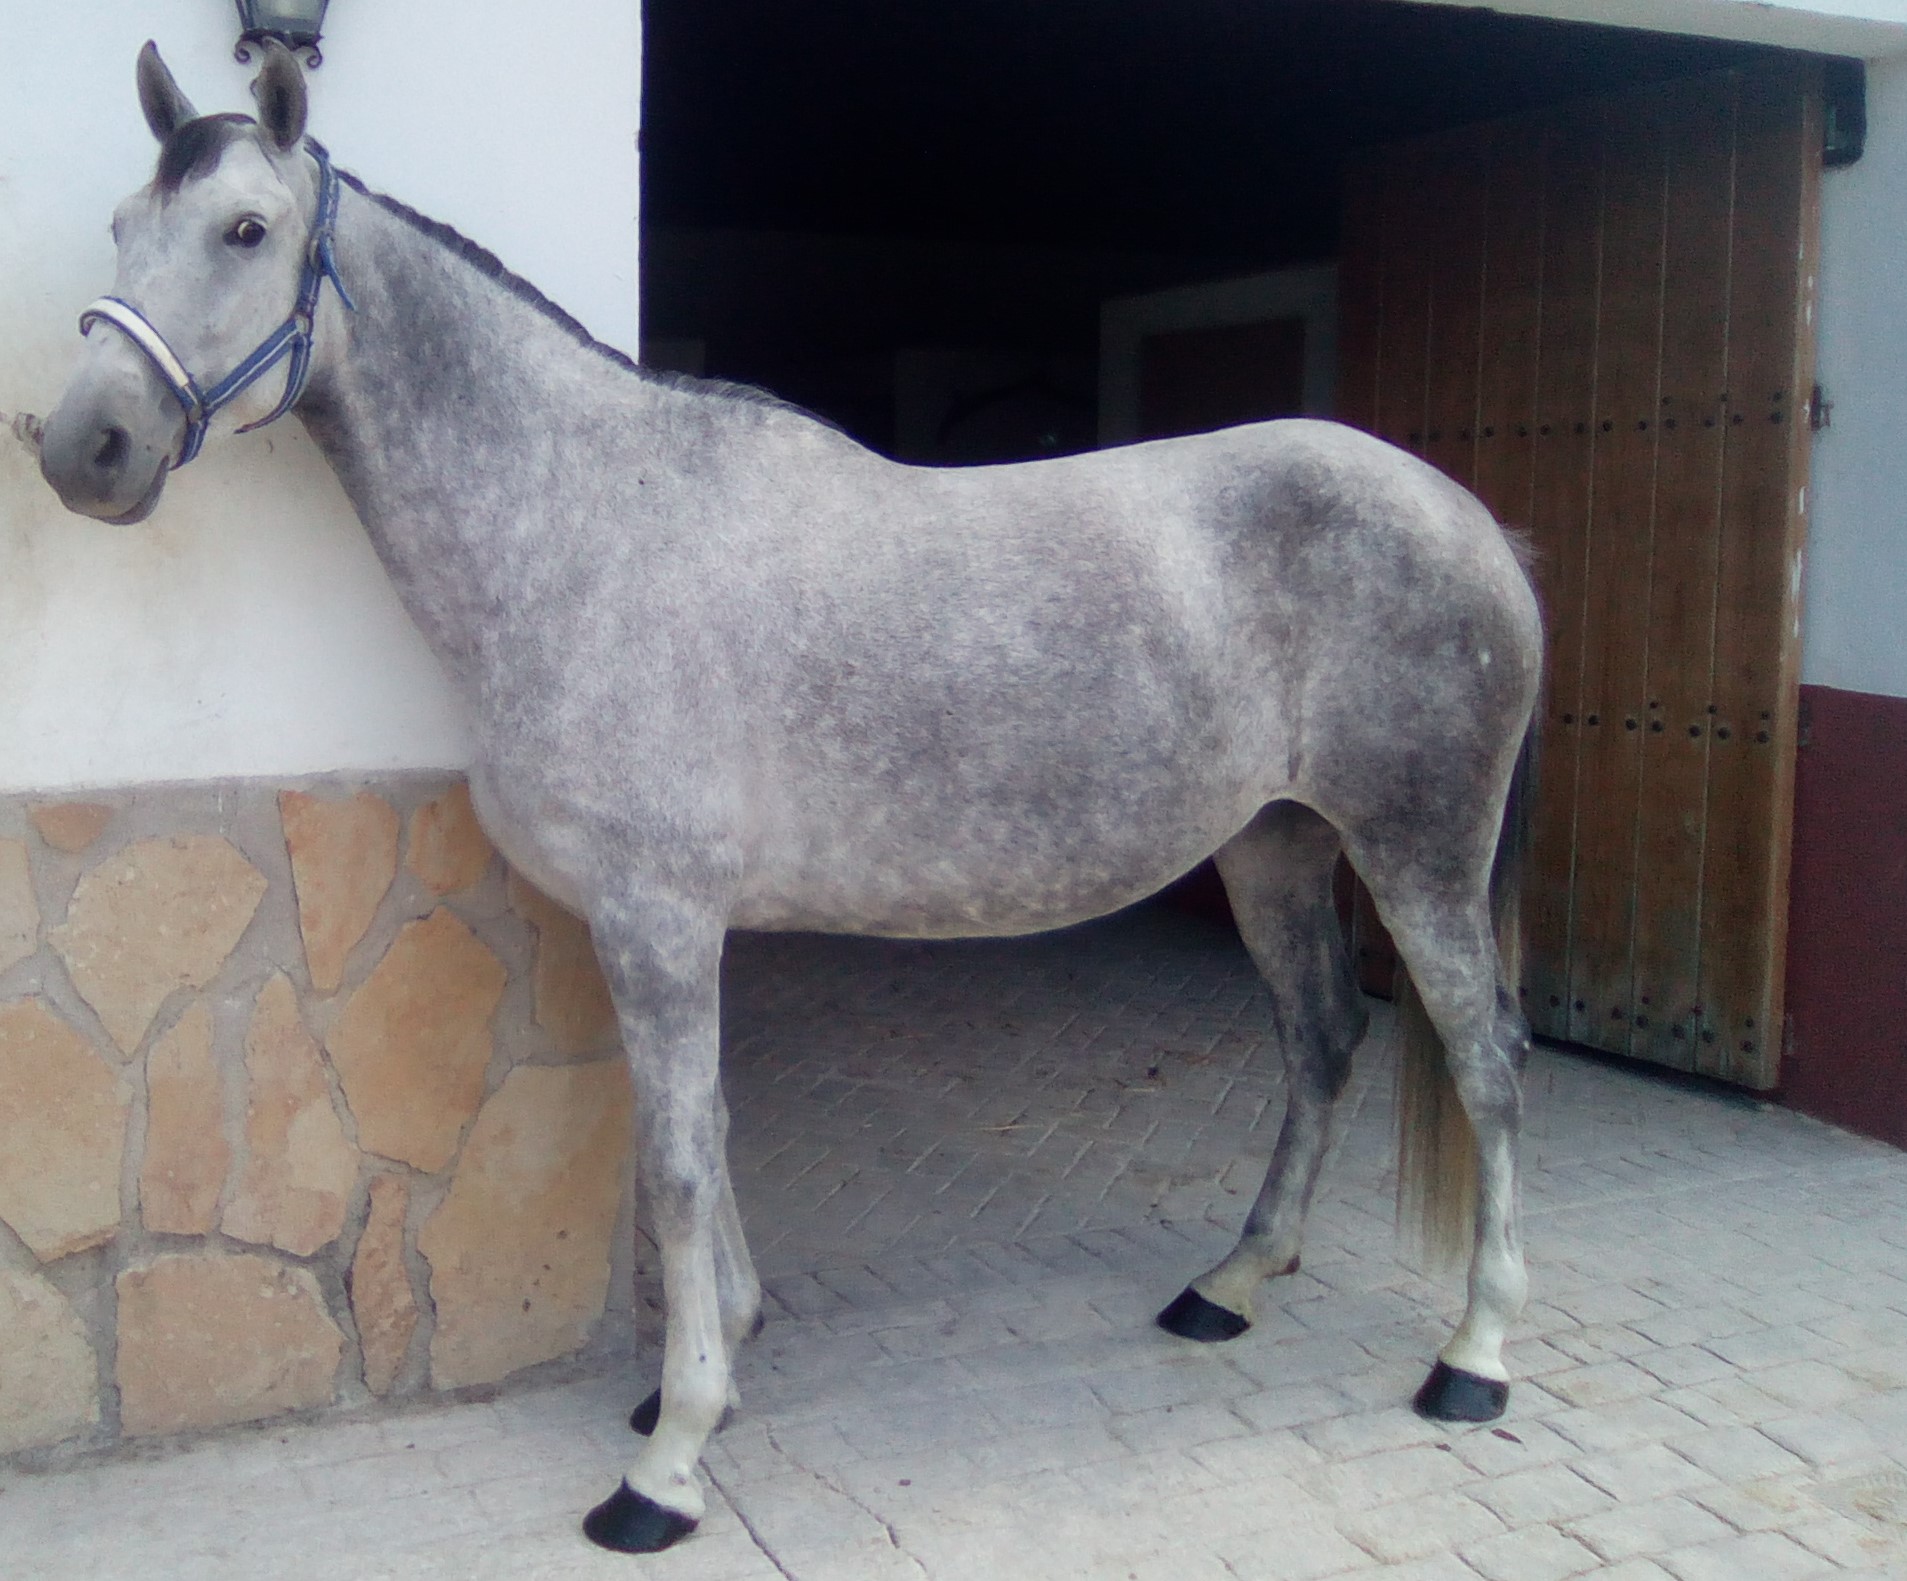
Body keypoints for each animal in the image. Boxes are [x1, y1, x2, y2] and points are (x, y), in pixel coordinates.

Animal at [41, 46, 1533, 1556]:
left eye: (246, 230)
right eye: (121, 223)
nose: (80, 447)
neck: (589, 529)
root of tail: (1472, 521)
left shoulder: (657, 921)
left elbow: (676, 1160)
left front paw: (669, 1460)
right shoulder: (661, 926)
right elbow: (698, 1130)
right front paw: (707, 1374)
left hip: (1418, 853)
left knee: (1485, 1060)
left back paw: (1472, 1359)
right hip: (1272, 848)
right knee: (1323, 1038)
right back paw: (1229, 1285)